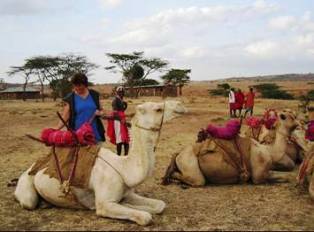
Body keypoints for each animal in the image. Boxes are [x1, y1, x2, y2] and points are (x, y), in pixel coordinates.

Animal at [14, 100, 186, 226]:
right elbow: (145, 217)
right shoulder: (104, 204)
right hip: (27, 183)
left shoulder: (127, 193)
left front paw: (132, 205)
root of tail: (32, 166)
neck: (123, 168)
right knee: (27, 201)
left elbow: (160, 205)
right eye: (158, 109)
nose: (181, 105)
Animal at [163, 109, 298, 188]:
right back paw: (175, 181)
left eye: (294, 115)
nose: (298, 123)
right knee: (197, 180)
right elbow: (277, 178)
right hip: (190, 165)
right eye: (285, 116)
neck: (270, 151)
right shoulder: (258, 178)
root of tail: (179, 153)